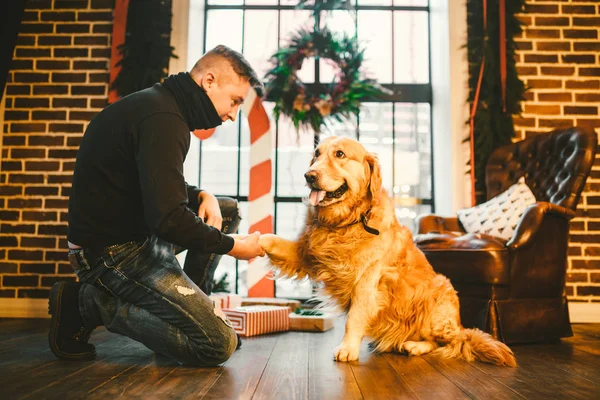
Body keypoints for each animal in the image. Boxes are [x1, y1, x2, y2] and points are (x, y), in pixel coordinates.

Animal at [260, 136, 516, 368]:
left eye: (340, 154)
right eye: (316, 154)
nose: (309, 176)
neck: (347, 222)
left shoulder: (367, 281)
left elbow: (354, 318)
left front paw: (347, 348)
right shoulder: (306, 253)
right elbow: (271, 240)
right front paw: (255, 240)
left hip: (437, 300)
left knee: (449, 342)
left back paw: (414, 345)